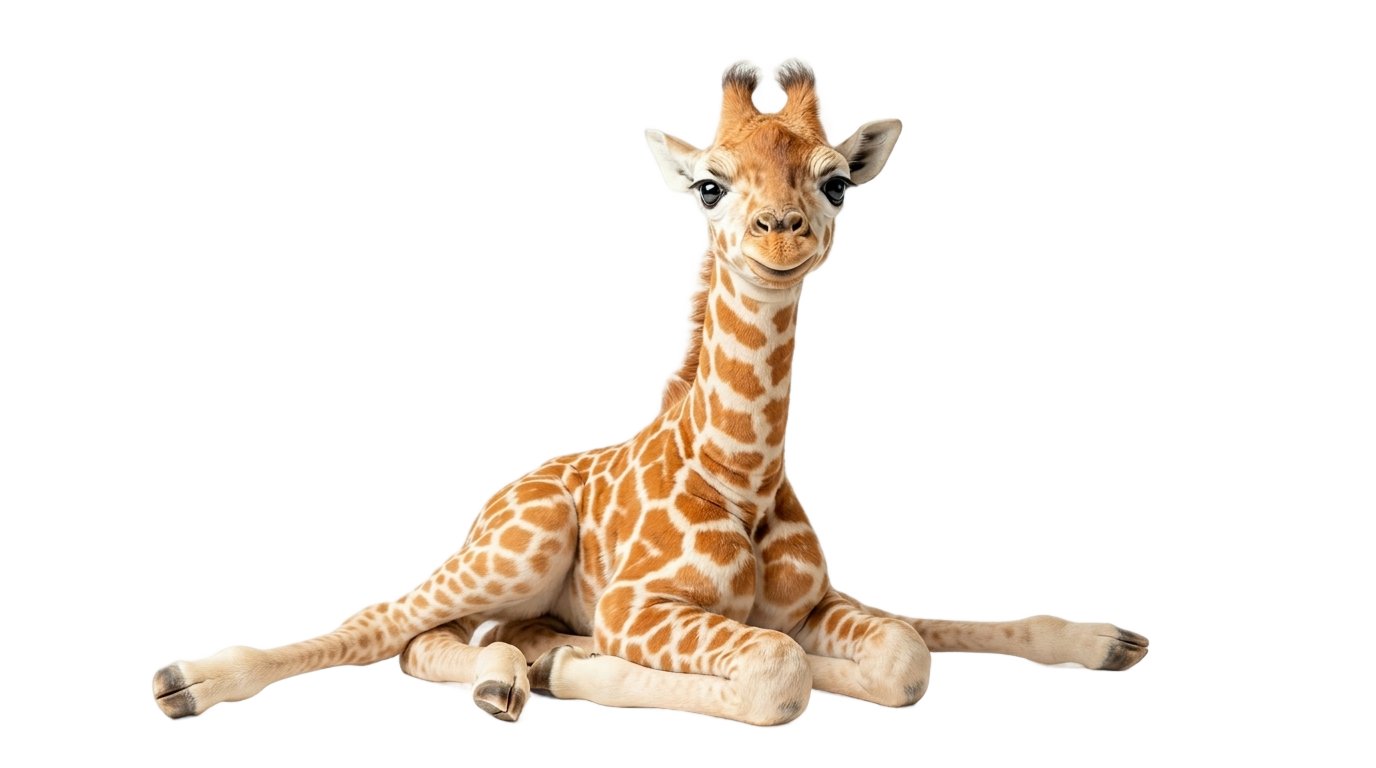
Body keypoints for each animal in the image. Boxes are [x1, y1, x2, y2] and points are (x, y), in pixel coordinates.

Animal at [152, 62, 1148, 726]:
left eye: (836, 180)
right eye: (709, 184)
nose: (780, 234)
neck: (742, 479)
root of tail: (500, 497)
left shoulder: (813, 605)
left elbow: (902, 646)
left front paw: (1104, 640)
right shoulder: (639, 606)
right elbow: (776, 676)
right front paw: (589, 672)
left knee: (447, 635)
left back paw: (509, 673)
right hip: (517, 548)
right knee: (394, 624)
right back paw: (194, 680)